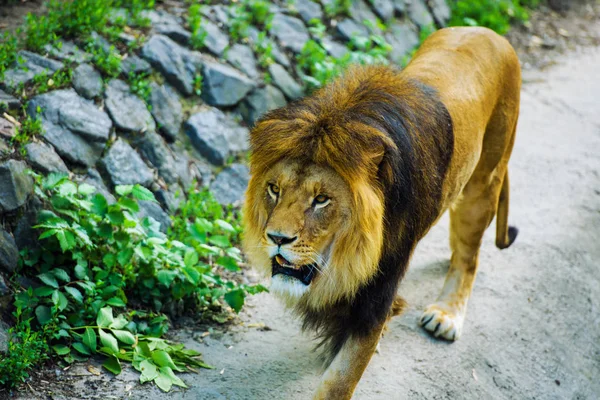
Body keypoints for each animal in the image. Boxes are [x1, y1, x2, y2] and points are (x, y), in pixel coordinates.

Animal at [243, 26, 520, 398]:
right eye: (274, 189)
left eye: (321, 199)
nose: (276, 238)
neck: (344, 259)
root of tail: (489, 32)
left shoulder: (377, 293)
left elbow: (339, 381)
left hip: (484, 181)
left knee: (469, 257)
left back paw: (446, 314)